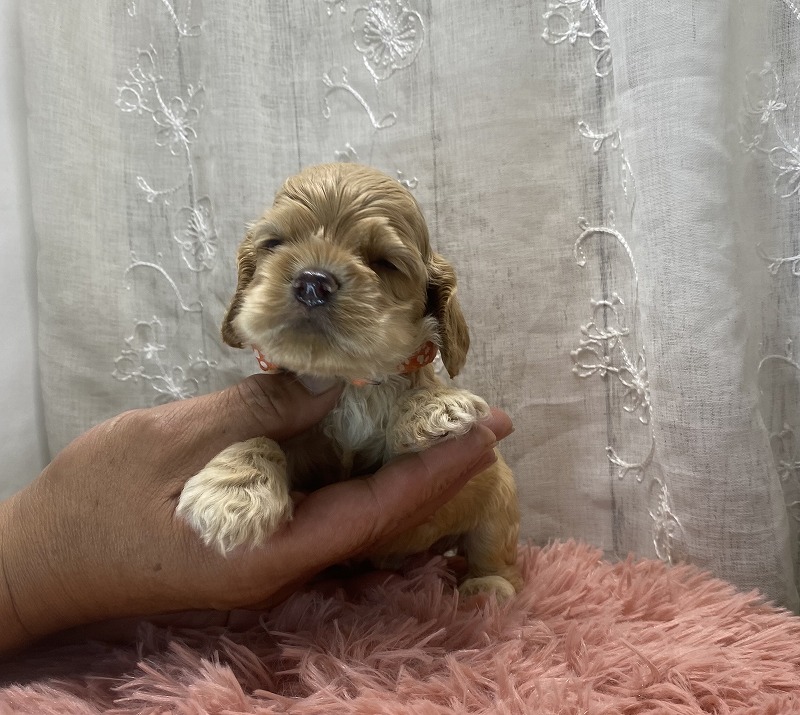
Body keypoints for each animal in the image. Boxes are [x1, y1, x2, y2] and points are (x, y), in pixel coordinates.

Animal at [177, 163, 521, 598]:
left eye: (384, 263)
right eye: (274, 243)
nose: (312, 282)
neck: (346, 382)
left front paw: (436, 406)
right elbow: (266, 437)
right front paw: (230, 494)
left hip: (499, 495)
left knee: (494, 551)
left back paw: (488, 588)